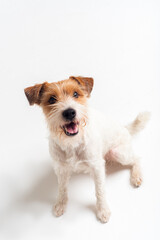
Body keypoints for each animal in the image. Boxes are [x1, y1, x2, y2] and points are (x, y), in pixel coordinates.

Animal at [24, 75, 150, 223]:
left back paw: (136, 177)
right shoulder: (61, 169)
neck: (72, 143)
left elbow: (100, 191)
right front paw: (61, 205)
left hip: (118, 153)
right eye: (51, 99)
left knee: (137, 158)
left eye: (75, 94)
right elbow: (62, 189)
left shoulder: (97, 167)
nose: (69, 112)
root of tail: (125, 128)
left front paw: (103, 210)